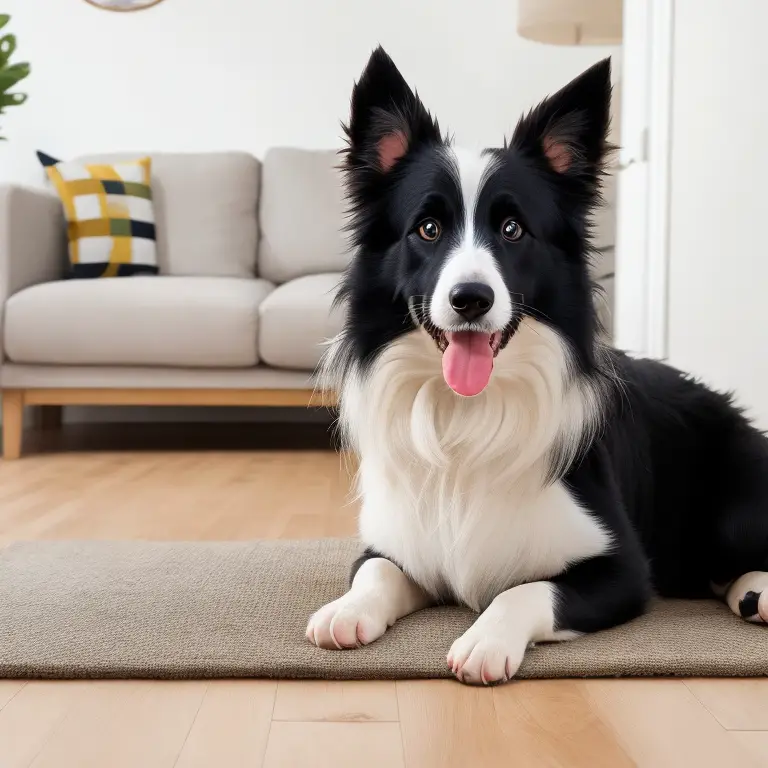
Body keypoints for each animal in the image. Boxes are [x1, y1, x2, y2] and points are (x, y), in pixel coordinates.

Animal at [306, 48, 768, 684]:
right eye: (428, 228)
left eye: (512, 229)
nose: (470, 299)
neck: (467, 415)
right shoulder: (396, 542)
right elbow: (374, 571)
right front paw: (346, 611)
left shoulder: (622, 569)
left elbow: (523, 590)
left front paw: (484, 641)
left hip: (736, 506)